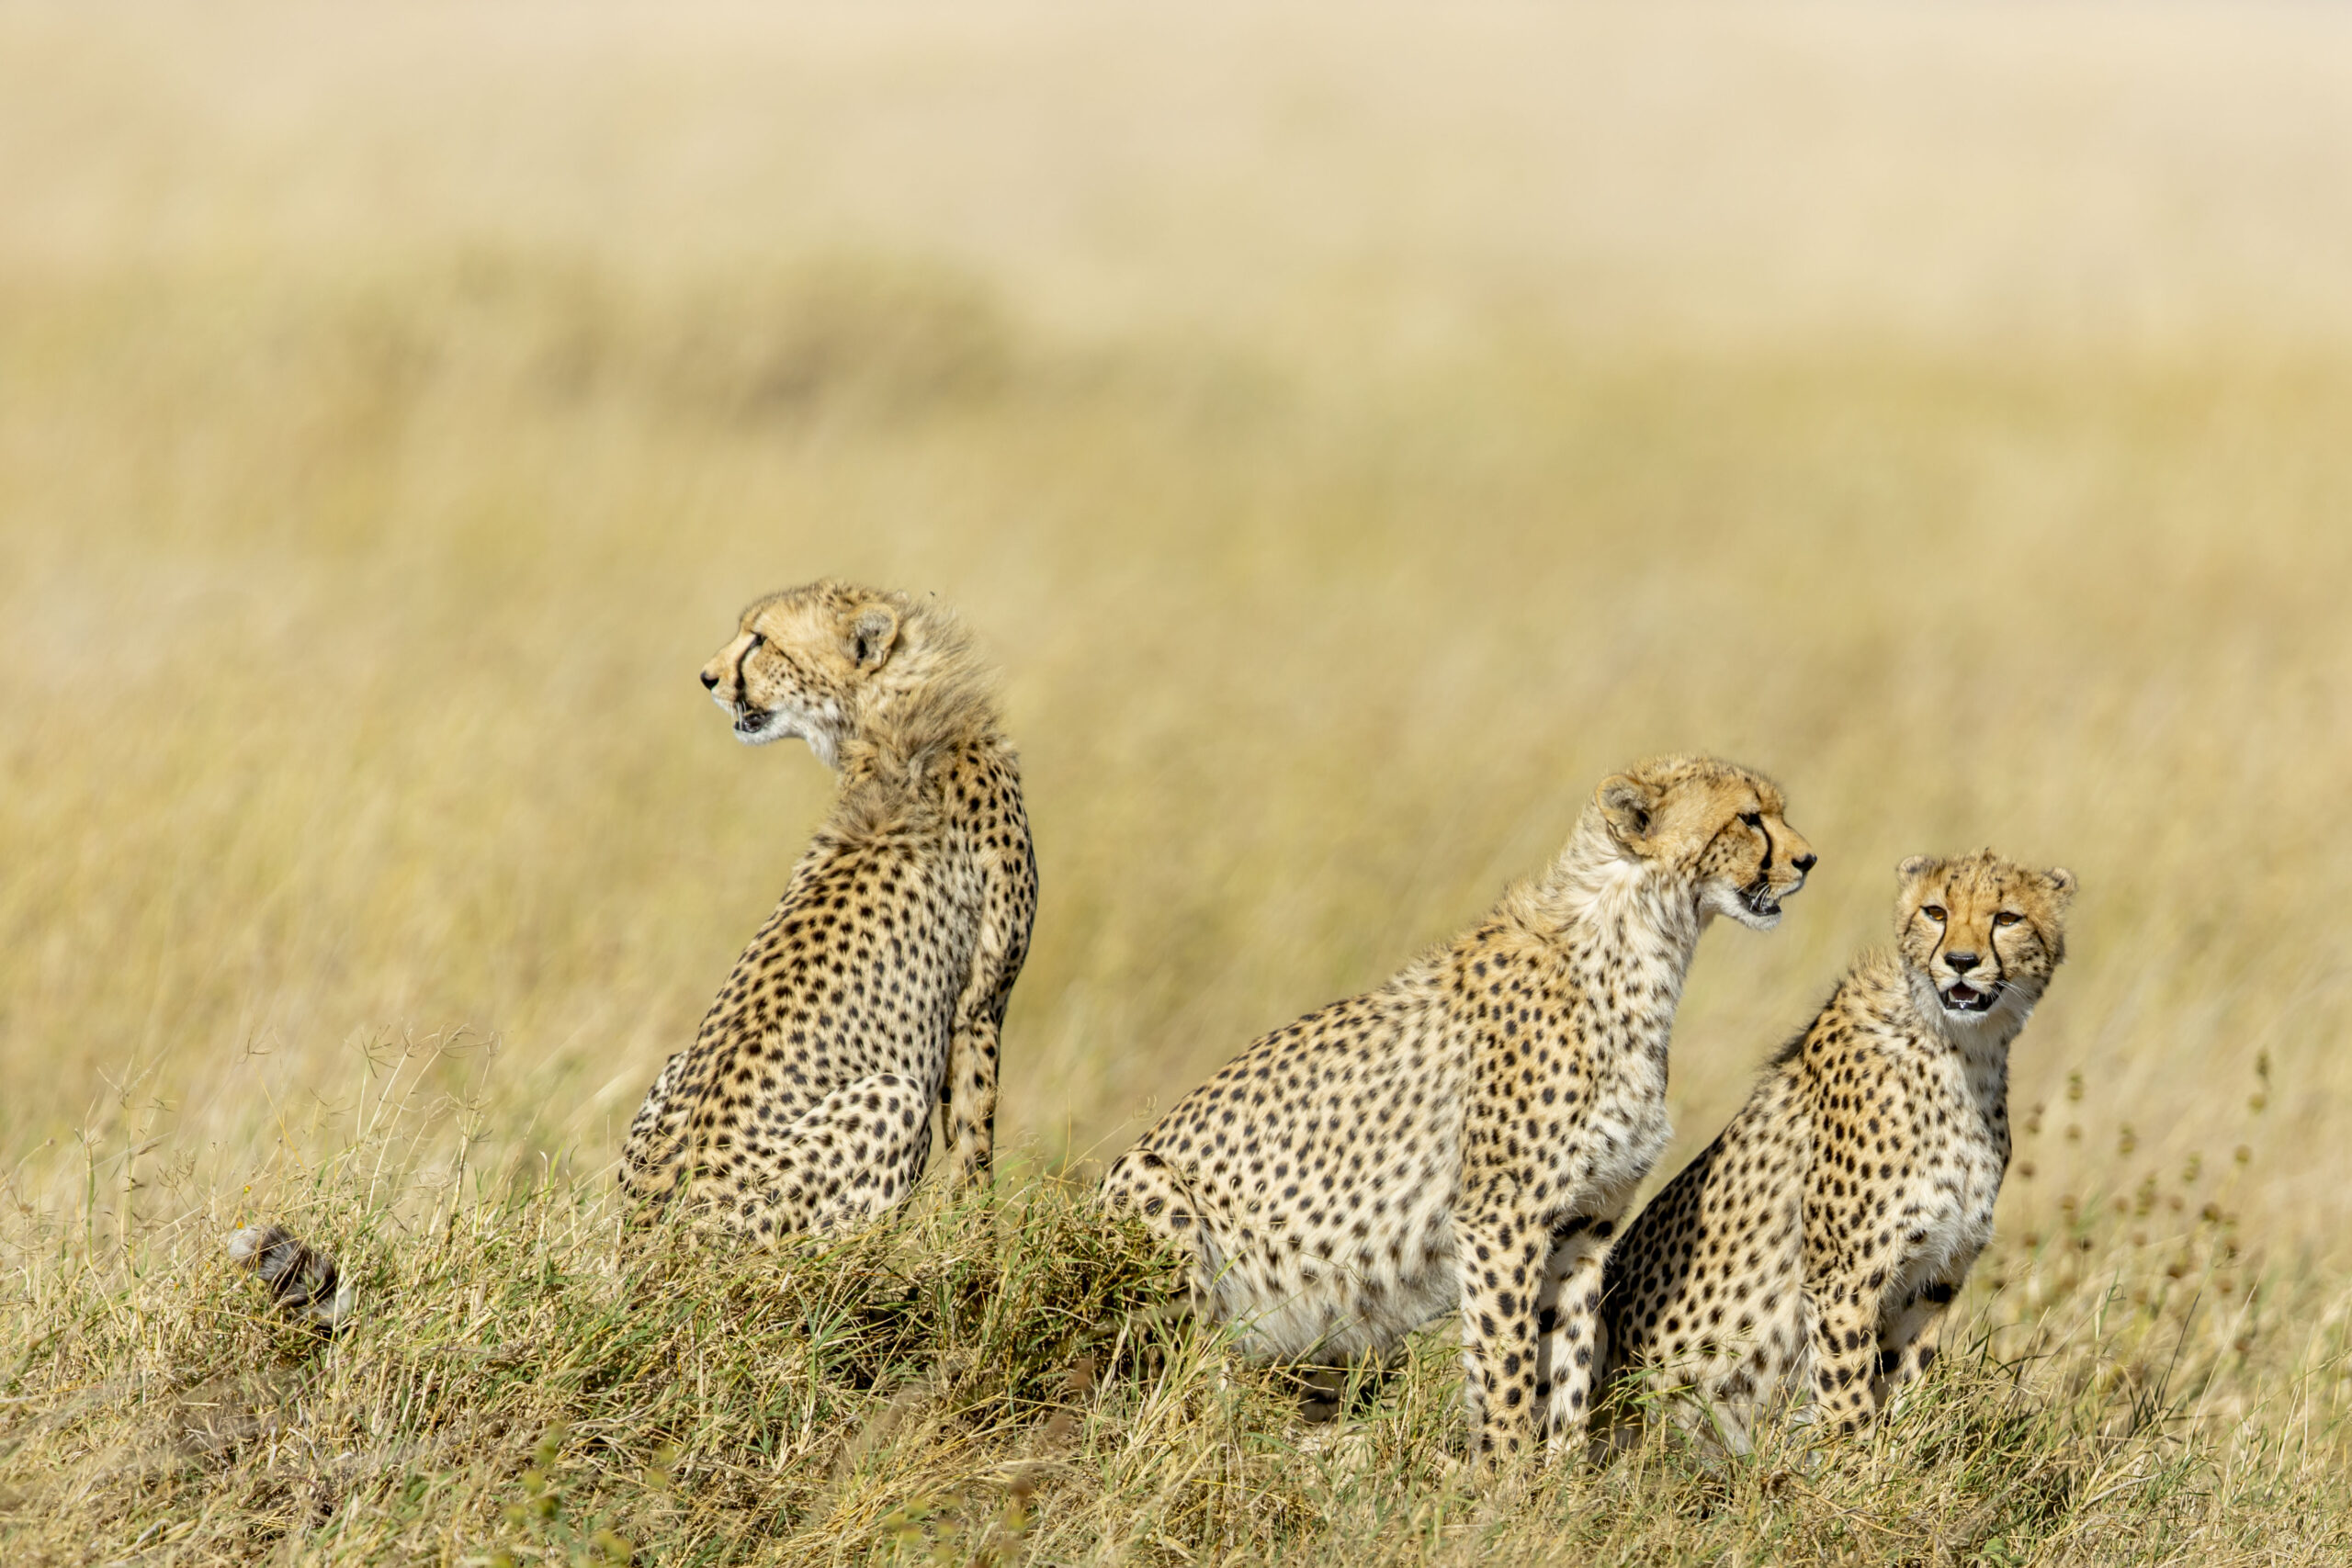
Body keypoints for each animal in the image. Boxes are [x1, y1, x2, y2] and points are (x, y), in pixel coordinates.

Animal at [1099, 754, 1815, 1470]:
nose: (1807, 859)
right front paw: (1503, 1475)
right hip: (1153, 1186)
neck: (1641, 939)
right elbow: (1507, 1360)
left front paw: (1559, 1480)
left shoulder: (1585, 1224)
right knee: (1189, 1387)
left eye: (1775, 811)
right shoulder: (1502, 1218)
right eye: (1749, 817)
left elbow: (1567, 1363)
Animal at [1595, 849, 2075, 1454]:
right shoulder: (1844, 1276)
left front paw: (1895, 1458)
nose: (1961, 962)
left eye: (2007, 918)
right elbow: (1847, 1392)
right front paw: (1854, 1468)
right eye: (1936, 912)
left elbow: (1901, 1382)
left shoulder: (1933, 1277)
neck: (1962, 1052)